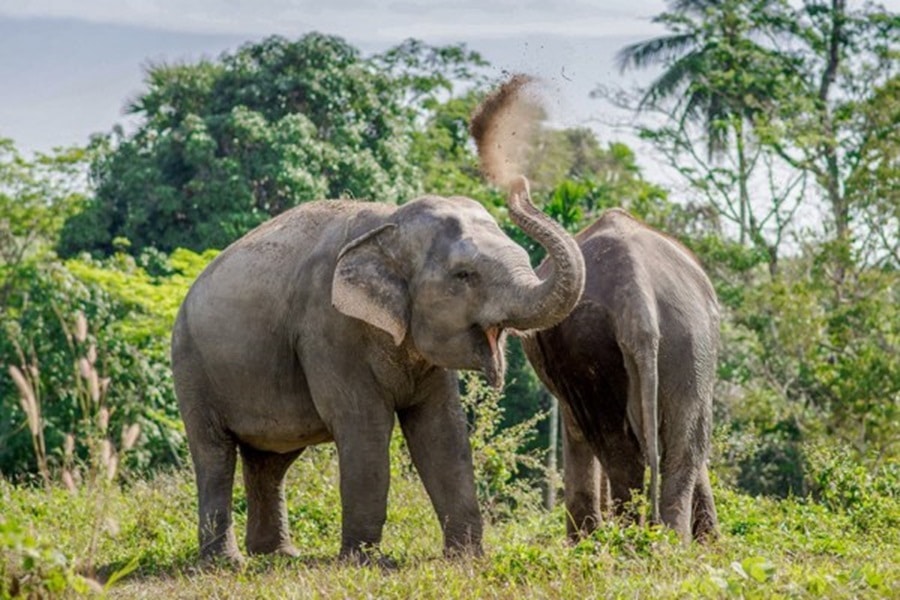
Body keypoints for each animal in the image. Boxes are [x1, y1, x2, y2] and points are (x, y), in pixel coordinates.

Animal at [171, 176, 588, 564]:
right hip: (191, 368)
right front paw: (367, 562)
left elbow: (441, 431)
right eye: (464, 275)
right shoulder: (328, 328)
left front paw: (467, 558)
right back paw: (227, 562)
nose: (519, 185)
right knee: (215, 456)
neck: (389, 223)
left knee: (271, 461)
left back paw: (279, 555)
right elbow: (365, 425)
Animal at [520, 209, 716, 548]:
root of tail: (636, 297)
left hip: (596, 345)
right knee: (680, 449)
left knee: (620, 450)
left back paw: (629, 542)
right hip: (688, 341)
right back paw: (665, 545)